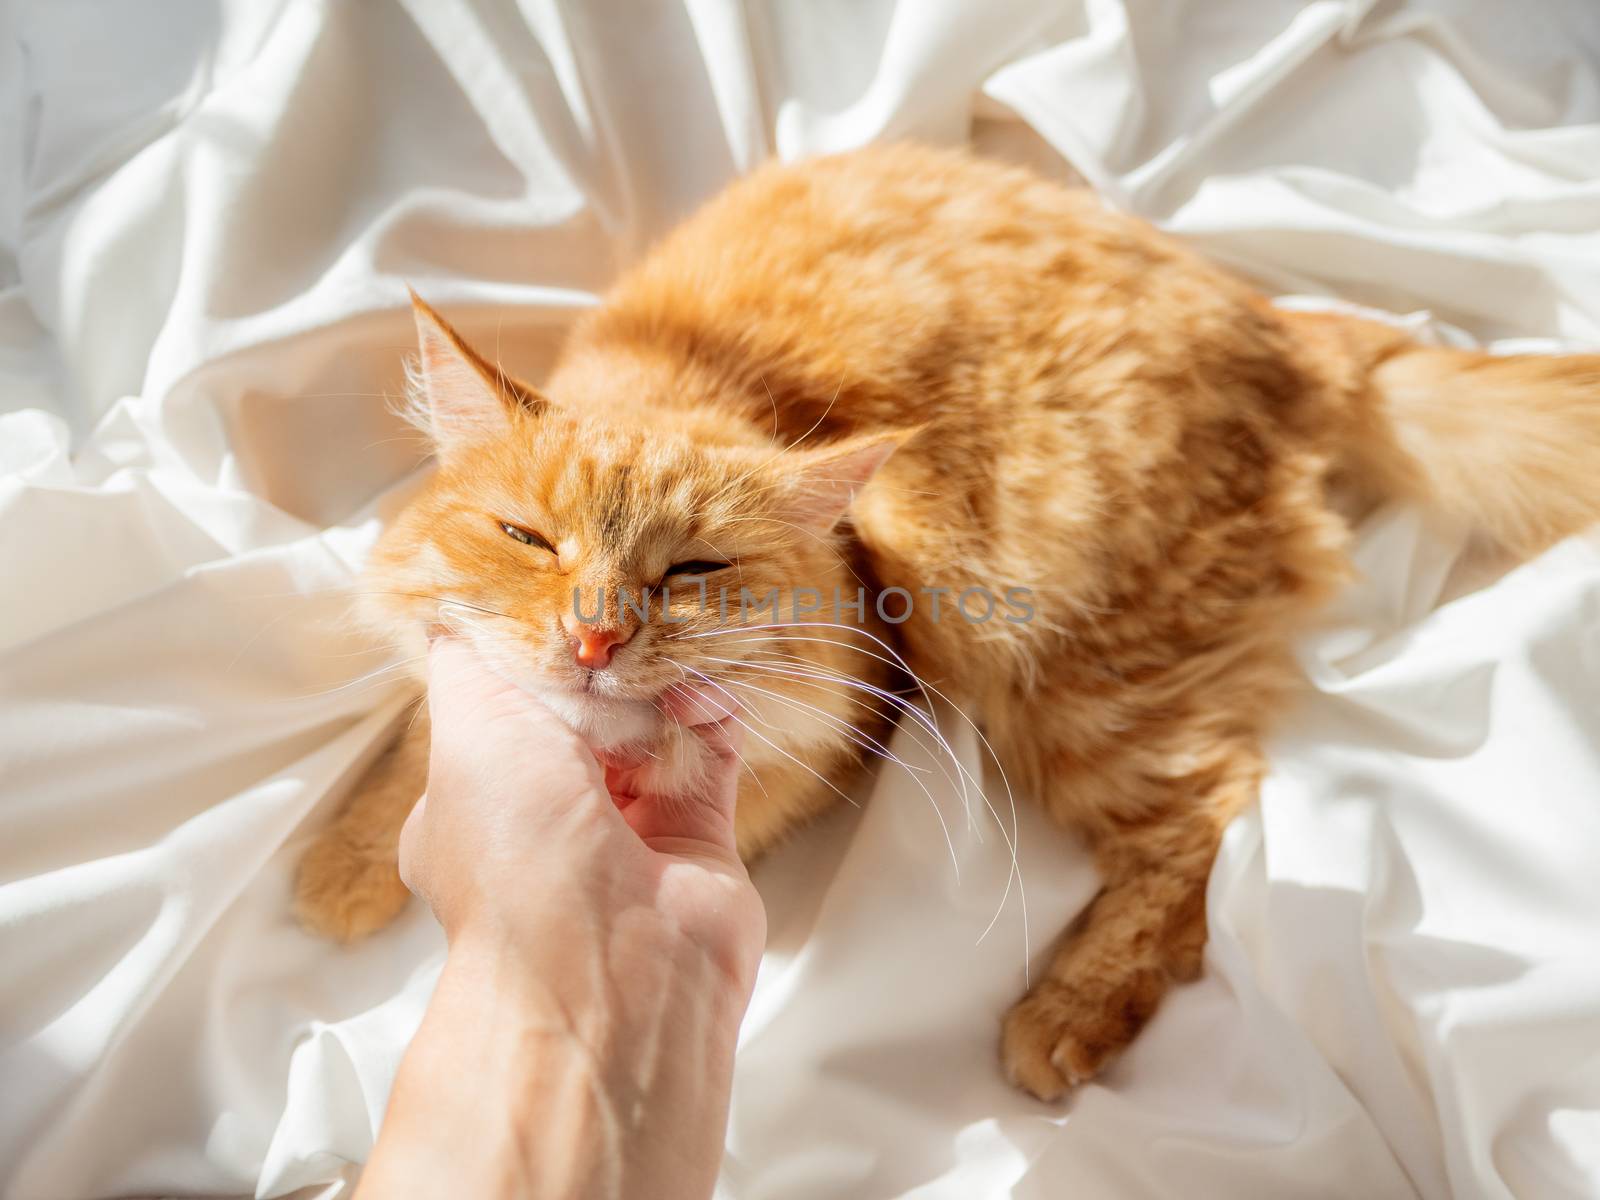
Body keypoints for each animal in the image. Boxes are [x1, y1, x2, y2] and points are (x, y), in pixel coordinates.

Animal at [297, 140, 1600, 1100]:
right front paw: (349, 862)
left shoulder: (833, 726)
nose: (596, 637)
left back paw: (1066, 1017)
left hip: (1049, 655)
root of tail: (1274, 326)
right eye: (530, 540)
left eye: (691, 571)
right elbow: (419, 728)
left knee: (1202, 814)